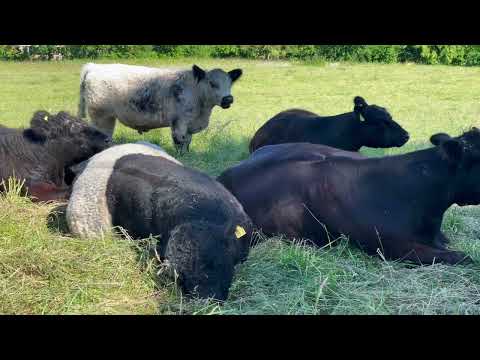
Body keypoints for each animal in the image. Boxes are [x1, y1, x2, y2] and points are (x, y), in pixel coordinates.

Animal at [79, 63, 244, 153]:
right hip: (101, 116)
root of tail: (95, 67)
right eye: (211, 83)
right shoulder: (179, 122)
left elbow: (187, 143)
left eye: (230, 83)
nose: (228, 99)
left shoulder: (190, 125)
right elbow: (179, 142)